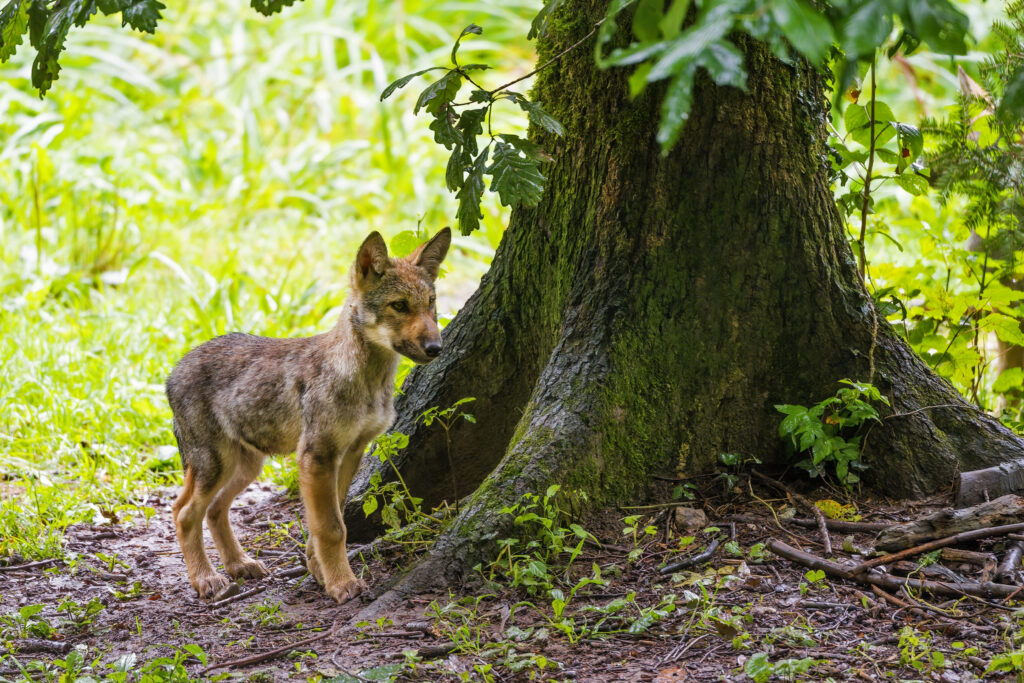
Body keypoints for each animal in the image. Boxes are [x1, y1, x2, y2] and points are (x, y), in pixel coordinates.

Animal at [166, 228, 451, 603]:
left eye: (430, 302)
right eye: (399, 305)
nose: (436, 348)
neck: (368, 381)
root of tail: (174, 368)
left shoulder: (350, 453)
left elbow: (330, 522)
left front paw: (320, 572)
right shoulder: (316, 455)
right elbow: (331, 527)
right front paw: (342, 583)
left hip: (246, 465)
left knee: (214, 510)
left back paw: (239, 565)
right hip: (216, 465)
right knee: (183, 512)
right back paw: (205, 579)